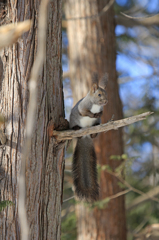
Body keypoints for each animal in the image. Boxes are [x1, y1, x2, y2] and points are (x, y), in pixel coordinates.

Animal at [69, 74, 107, 202]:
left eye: (106, 93)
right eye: (99, 94)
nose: (106, 101)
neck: (95, 106)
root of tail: (85, 136)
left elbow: (100, 114)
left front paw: (98, 114)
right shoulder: (83, 107)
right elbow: (84, 112)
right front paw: (91, 114)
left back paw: (94, 132)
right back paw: (77, 128)